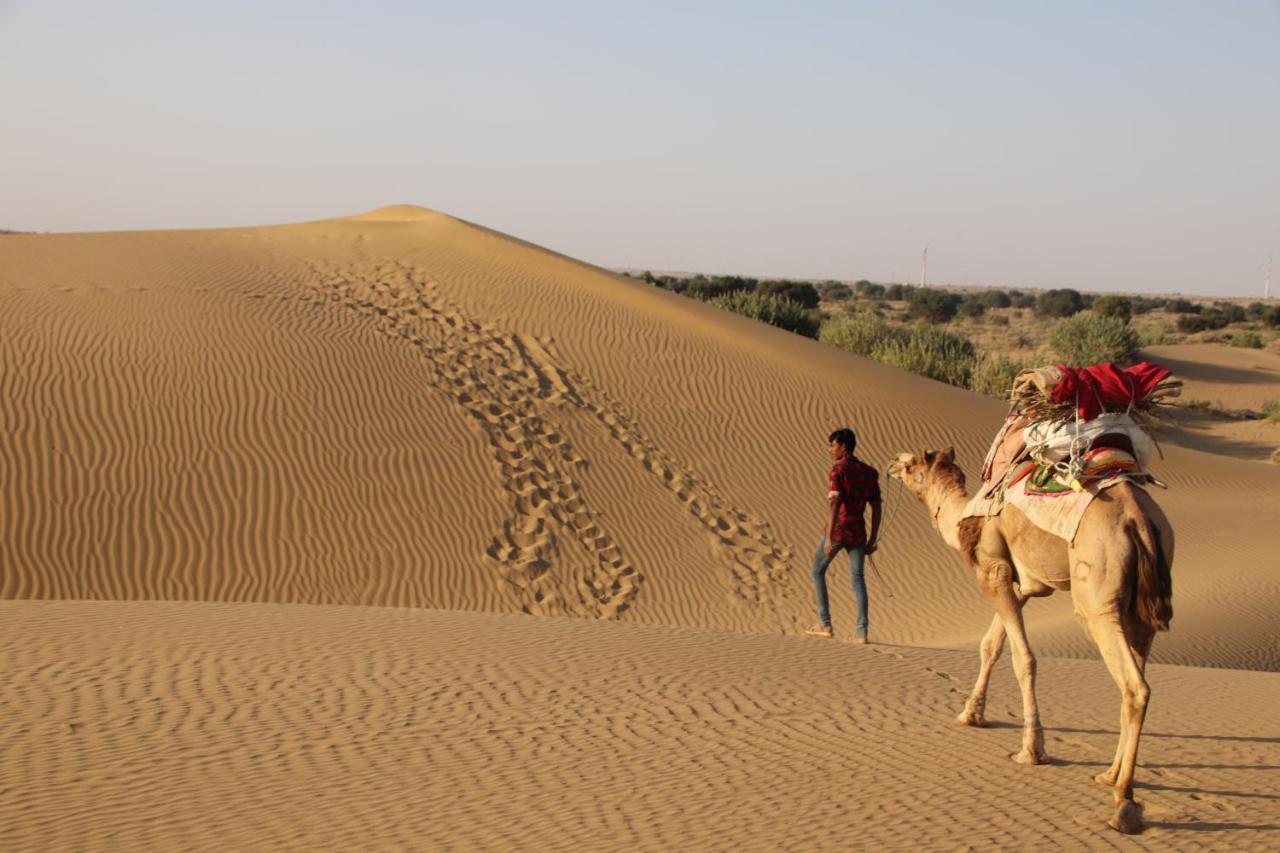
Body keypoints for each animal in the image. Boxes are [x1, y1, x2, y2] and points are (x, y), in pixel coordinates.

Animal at [890, 448, 1172, 835]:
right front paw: (970, 714)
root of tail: (1137, 517)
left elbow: (1023, 658)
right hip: (1141, 606)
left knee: (1135, 686)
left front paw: (1032, 750)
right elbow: (990, 645)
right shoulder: (1023, 585)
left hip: (1096, 596)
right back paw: (1110, 775)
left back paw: (1124, 804)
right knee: (1134, 672)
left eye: (910, 465)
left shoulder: (993, 571)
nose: (890, 464)